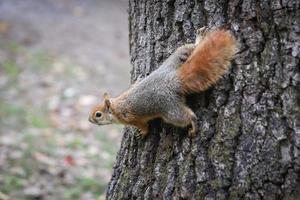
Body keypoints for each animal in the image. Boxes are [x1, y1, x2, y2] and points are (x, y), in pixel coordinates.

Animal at [88, 27, 237, 138]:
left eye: (98, 114)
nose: (89, 120)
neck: (116, 106)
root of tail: (174, 79)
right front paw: (138, 79)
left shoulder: (132, 119)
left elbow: (144, 126)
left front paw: (142, 133)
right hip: (177, 58)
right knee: (190, 48)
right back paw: (199, 39)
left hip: (170, 110)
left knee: (188, 117)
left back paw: (194, 128)